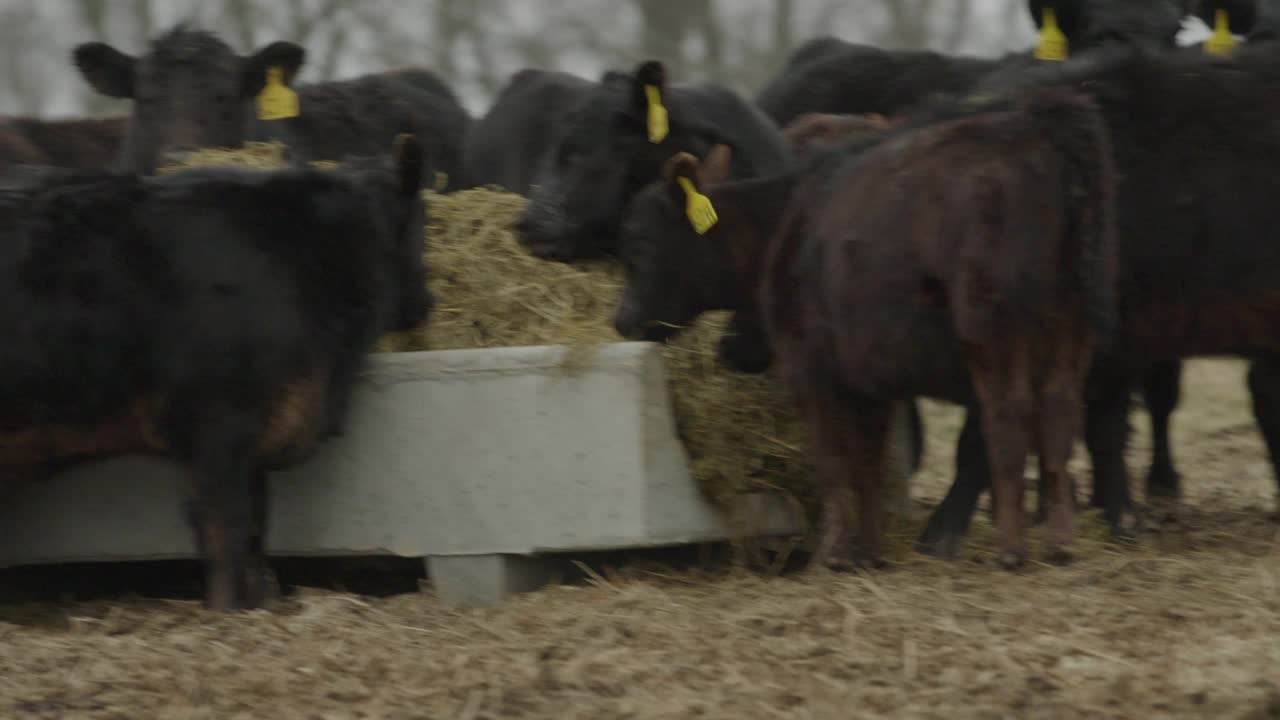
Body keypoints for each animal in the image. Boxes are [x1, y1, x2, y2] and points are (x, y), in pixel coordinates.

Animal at [0, 135, 432, 609]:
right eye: (422, 229)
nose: (426, 304)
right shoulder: (218, 424)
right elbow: (227, 532)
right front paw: (228, 611)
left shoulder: (261, 431)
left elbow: (257, 529)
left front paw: (264, 603)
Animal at [614, 85, 1116, 566]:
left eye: (640, 242)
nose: (621, 320)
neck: (790, 219)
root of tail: (1038, 126)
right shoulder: (873, 378)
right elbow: (868, 465)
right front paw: (870, 550)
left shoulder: (812, 367)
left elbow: (833, 460)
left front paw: (834, 553)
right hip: (1072, 327)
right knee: (1058, 414)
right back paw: (1059, 543)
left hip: (995, 331)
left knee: (1007, 419)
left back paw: (1010, 550)